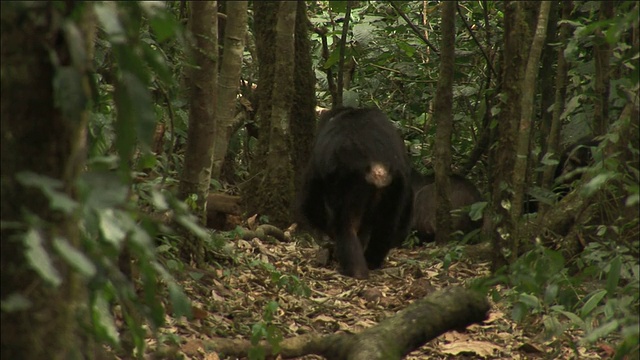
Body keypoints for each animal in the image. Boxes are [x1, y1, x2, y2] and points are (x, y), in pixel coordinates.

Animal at [298, 105, 412, 280]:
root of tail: (377, 170)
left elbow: (311, 202)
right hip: (396, 182)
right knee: (388, 222)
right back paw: (372, 261)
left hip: (352, 183)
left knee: (345, 224)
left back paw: (355, 269)